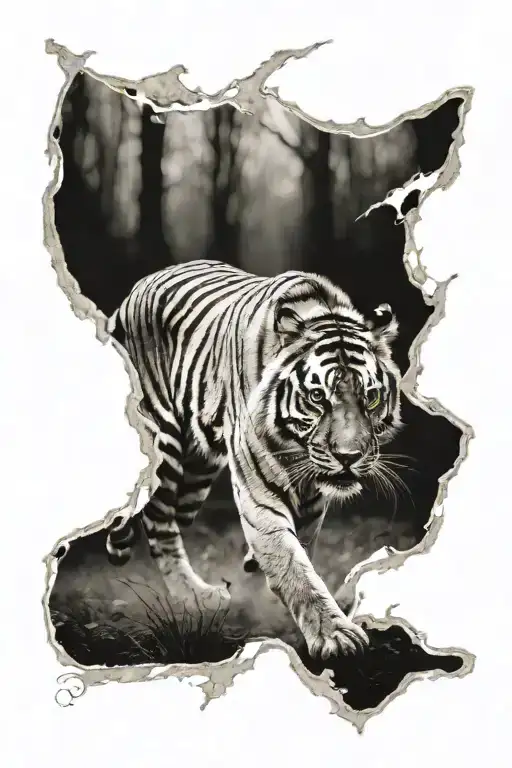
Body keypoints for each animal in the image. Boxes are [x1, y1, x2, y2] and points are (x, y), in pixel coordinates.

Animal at [106, 259, 402, 660]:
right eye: (317, 397)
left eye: (370, 397)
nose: (348, 457)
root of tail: (132, 294)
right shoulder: (258, 491)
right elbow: (293, 564)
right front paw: (336, 636)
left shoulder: (313, 497)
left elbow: (302, 547)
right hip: (161, 446)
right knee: (157, 519)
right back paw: (193, 596)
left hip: (199, 469)